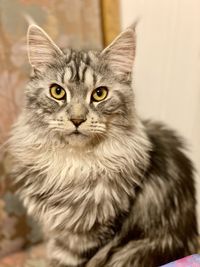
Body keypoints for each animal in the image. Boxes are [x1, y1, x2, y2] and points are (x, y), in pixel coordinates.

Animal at [9, 25, 198, 267]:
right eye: (57, 92)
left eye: (100, 94)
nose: (77, 119)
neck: (74, 163)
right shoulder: (57, 230)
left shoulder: (84, 236)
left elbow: (63, 260)